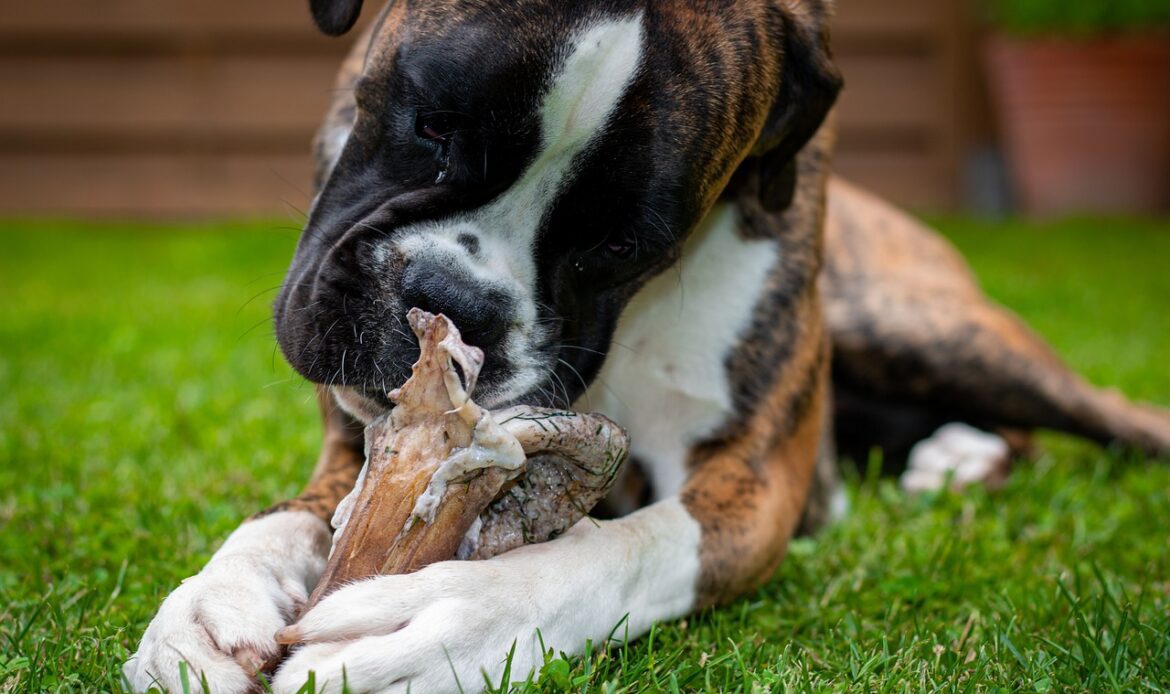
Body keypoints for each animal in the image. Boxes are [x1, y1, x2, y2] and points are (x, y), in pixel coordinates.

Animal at [123, 1, 1165, 688]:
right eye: (432, 126)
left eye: (622, 244)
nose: (454, 304)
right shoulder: (358, 444)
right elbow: (290, 520)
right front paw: (211, 610)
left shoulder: (753, 482)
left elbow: (626, 546)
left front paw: (454, 621)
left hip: (926, 330)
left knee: (1103, 415)